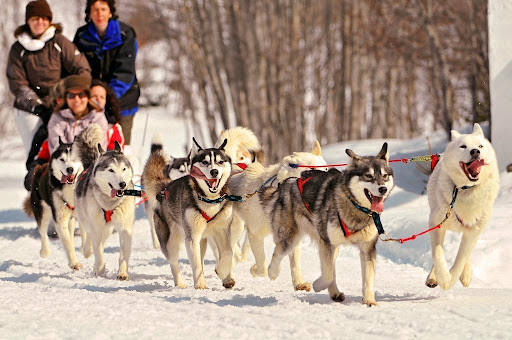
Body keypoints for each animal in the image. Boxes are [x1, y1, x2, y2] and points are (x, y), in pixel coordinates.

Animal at [74, 140, 135, 278]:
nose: (123, 184)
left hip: (107, 229)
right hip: (85, 220)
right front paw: (100, 270)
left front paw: (122, 273)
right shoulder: (96, 227)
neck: (110, 204)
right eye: (111, 170)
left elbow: (123, 253)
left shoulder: (125, 228)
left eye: (123, 169)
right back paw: (88, 251)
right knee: (89, 237)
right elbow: (98, 252)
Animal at [144, 137, 236, 288]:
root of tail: (164, 188)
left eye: (220, 162)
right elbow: (197, 265)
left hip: (203, 240)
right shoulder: (192, 237)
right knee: (174, 262)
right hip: (171, 241)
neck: (210, 201)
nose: (214, 172)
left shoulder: (223, 230)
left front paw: (224, 274)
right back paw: (180, 284)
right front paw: (201, 285)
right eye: (205, 162)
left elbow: (228, 252)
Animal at [229, 139, 328, 290]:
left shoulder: (292, 234)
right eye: (311, 169)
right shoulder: (255, 234)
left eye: (326, 169)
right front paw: (257, 270)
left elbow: (294, 263)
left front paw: (299, 283)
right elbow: (263, 268)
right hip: (237, 227)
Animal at [258, 143, 394, 306]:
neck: (355, 206)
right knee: (278, 252)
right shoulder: (327, 242)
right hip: (290, 236)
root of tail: (288, 181)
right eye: (368, 176)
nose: (383, 189)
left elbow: (368, 278)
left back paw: (335, 293)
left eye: (384, 176)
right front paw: (318, 285)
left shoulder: (367, 248)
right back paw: (273, 272)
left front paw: (369, 301)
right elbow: (328, 275)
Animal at [424, 123, 500, 290]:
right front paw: (443, 278)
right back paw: (433, 277)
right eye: (463, 146)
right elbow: (437, 254)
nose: (475, 151)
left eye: (480, 146)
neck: (466, 189)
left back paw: (465, 274)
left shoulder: (474, 230)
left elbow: (461, 259)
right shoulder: (436, 223)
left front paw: (451, 278)